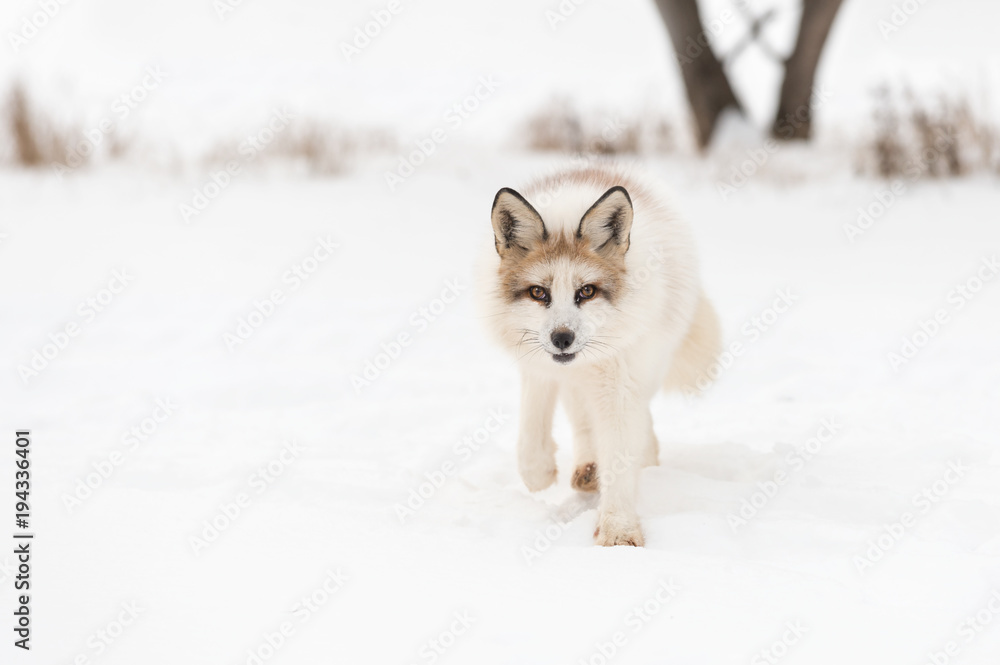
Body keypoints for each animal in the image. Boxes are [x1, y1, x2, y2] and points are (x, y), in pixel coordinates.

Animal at [479, 166, 721, 547]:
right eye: (538, 293)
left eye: (587, 291)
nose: (562, 339)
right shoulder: (537, 367)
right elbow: (531, 432)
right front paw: (539, 472)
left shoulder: (619, 381)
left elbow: (620, 457)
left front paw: (618, 529)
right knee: (582, 422)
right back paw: (587, 469)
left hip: (642, 369)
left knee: (634, 421)